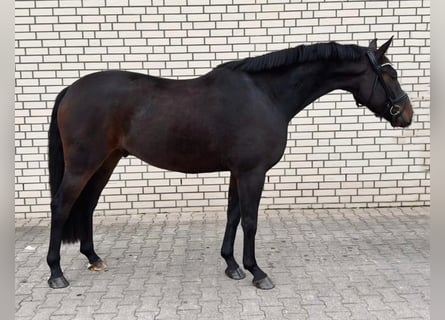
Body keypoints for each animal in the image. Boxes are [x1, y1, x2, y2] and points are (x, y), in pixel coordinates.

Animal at [46, 38, 412, 290]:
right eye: (390, 75)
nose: (406, 115)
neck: (266, 95)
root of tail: (70, 90)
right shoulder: (253, 172)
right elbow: (250, 220)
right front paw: (257, 272)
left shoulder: (239, 171)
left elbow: (233, 215)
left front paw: (232, 265)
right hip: (83, 164)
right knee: (62, 206)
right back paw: (56, 273)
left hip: (105, 162)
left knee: (87, 205)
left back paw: (93, 258)